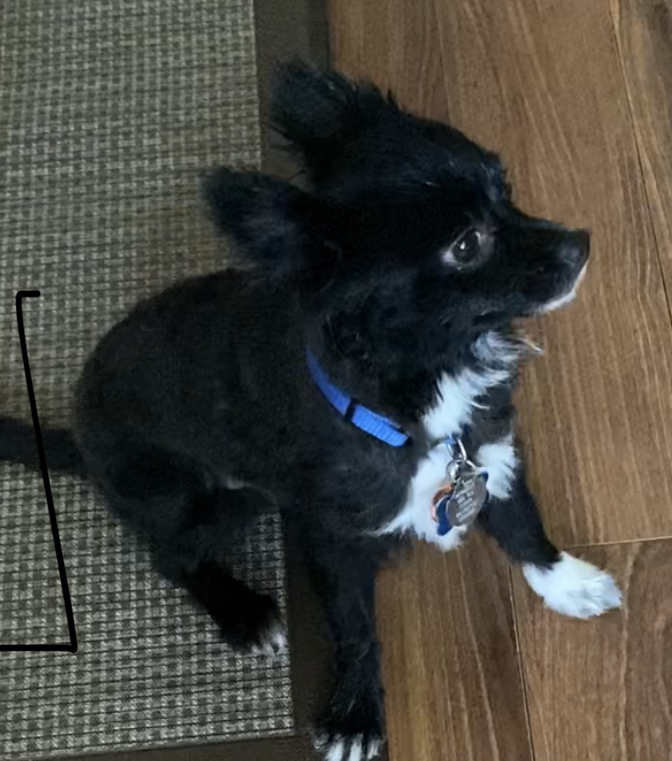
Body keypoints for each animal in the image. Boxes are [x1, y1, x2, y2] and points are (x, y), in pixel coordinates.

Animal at [0, 63, 621, 761]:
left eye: (505, 186)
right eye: (466, 245)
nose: (579, 244)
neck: (424, 384)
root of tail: (78, 436)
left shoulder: (488, 449)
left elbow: (521, 525)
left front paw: (568, 583)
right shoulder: (332, 539)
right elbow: (354, 626)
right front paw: (355, 715)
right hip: (206, 500)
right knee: (171, 557)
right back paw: (243, 613)